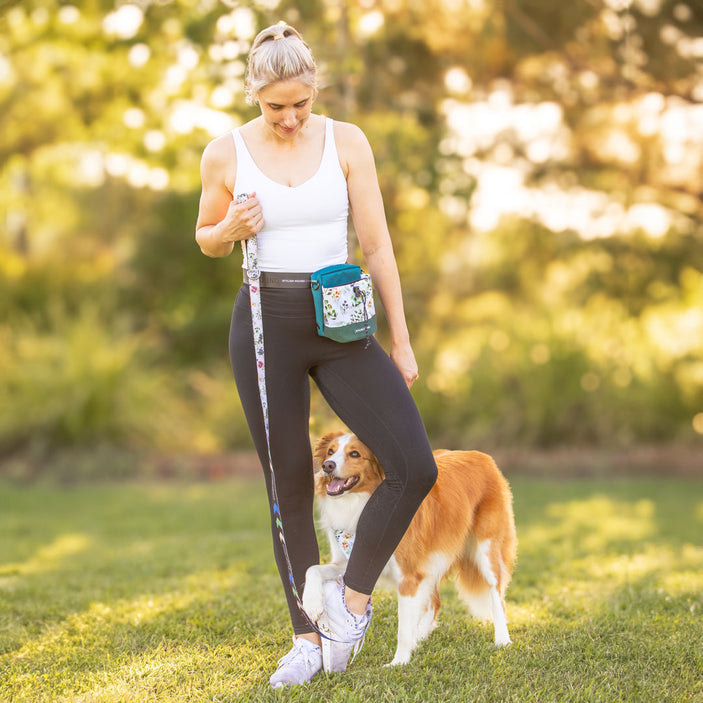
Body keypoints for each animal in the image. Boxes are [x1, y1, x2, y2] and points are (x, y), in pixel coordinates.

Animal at [302, 432, 516, 668]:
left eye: (355, 454)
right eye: (330, 451)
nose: (327, 465)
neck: (363, 501)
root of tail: (483, 457)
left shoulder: (408, 576)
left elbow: (403, 628)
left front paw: (399, 663)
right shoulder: (348, 562)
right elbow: (312, 569)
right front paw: (311, 604)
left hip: (486, 550)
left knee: (497, 594)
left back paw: (502, 639)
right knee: (435, 602)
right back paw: (420, 637)